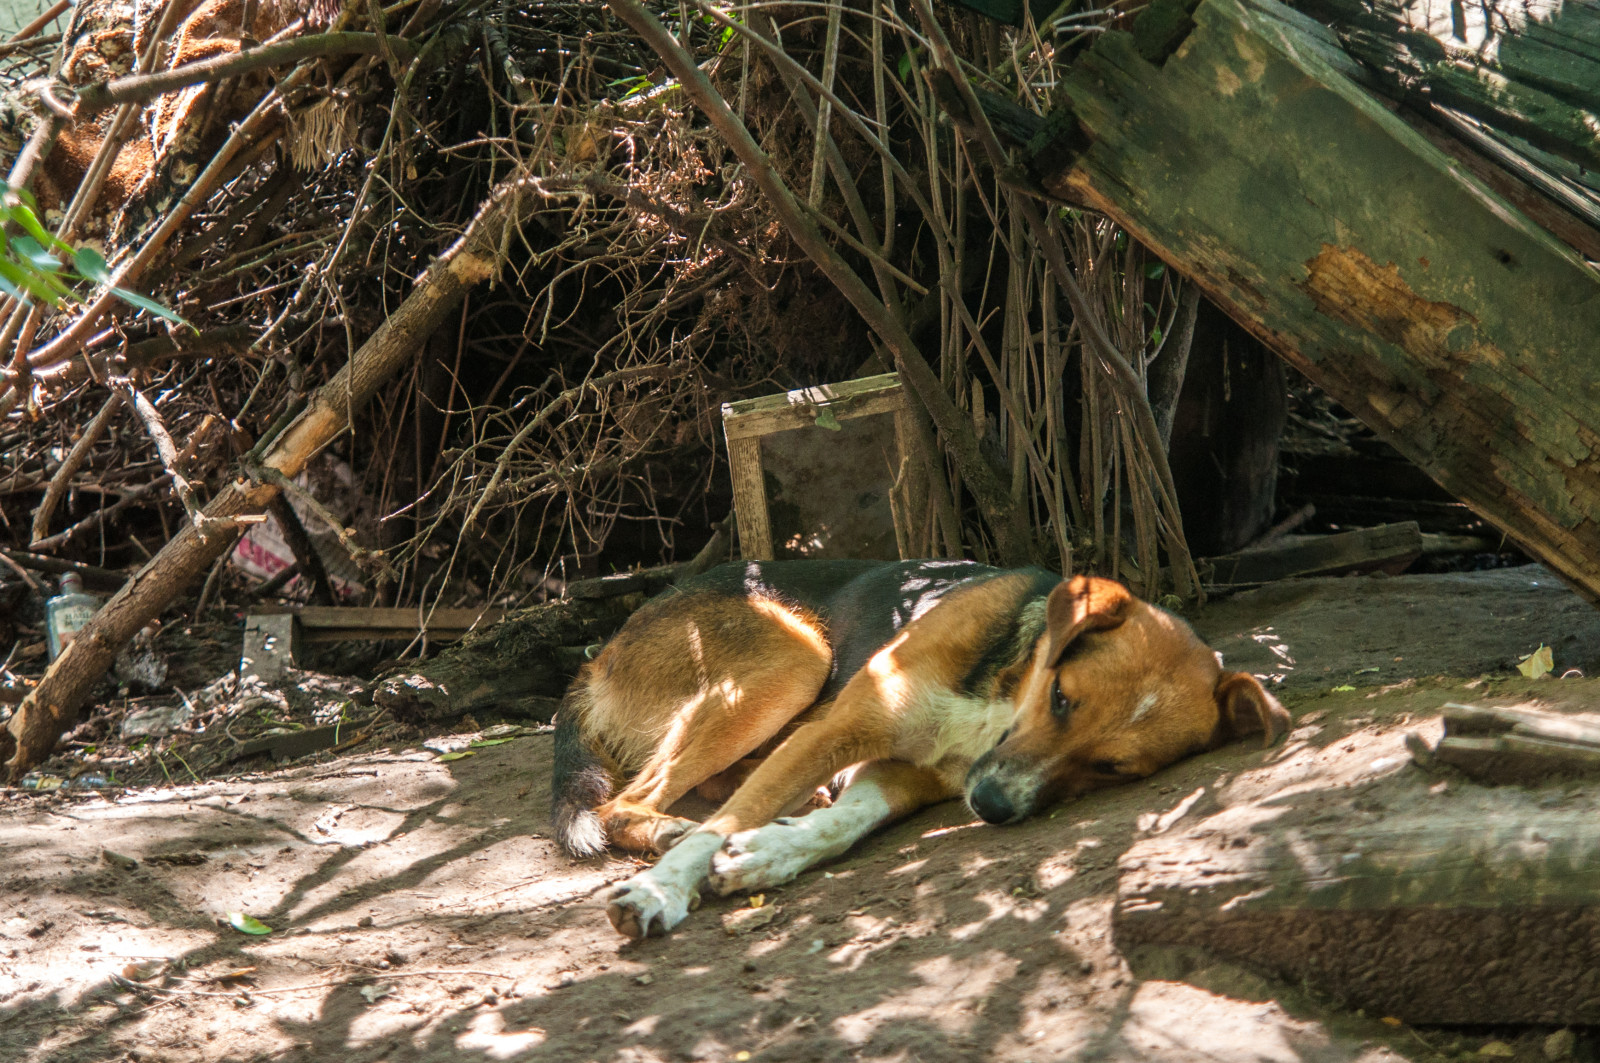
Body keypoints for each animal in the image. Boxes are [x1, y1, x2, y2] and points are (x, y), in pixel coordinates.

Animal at [550, 557, 1286, 941]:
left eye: (1112, 768)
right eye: (1061, 698)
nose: (991, 806)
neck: (1005, 696)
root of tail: (600, 649)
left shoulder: (911, 775)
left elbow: (841, 824)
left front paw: (767, 853)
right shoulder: (841, 727)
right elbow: (723, 825)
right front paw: (661, 890)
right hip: (796, 658)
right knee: (628, 802)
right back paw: (671, 833)